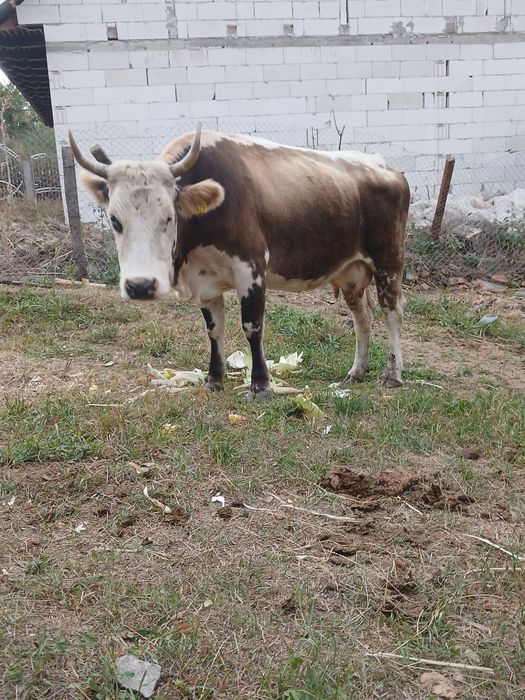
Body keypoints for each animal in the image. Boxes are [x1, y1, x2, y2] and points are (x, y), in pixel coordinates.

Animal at [69, 126, 410, 399]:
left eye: (168, 217)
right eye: (115, 220)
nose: (140, 286)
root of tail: (386, 167)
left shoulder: (251, 268)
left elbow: (252, 327)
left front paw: (260, 385)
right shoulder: (205, 281)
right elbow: (214, 330)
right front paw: (213, 378)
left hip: (389, 260)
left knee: (392, 312)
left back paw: (393, 375)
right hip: (351, 272)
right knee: (363, 317)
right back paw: (356, 372)